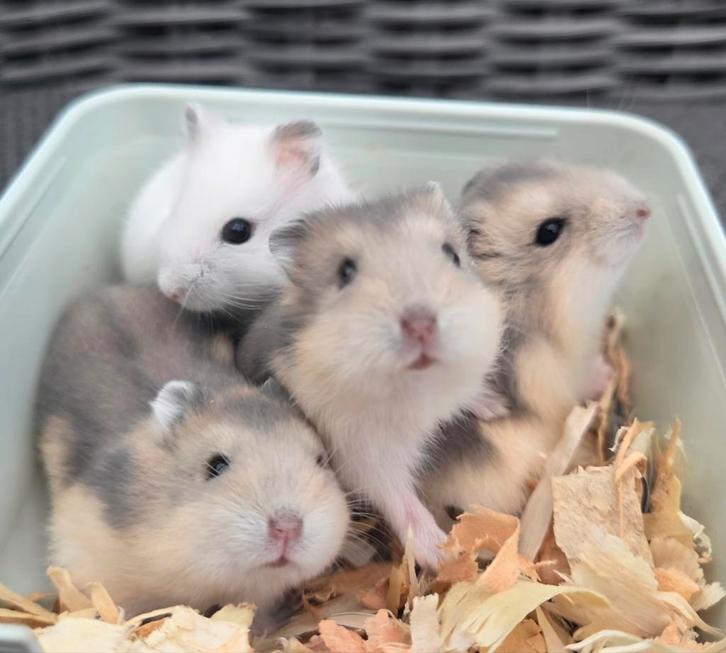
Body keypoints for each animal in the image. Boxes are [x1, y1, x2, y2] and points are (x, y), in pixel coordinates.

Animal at [237, 184, 503, 569]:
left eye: (452, 254)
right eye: (345, 271)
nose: (420, 325)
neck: (415, 386)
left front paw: (497, 407)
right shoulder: (366, 452)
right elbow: (399, 499)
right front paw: (444, 555)